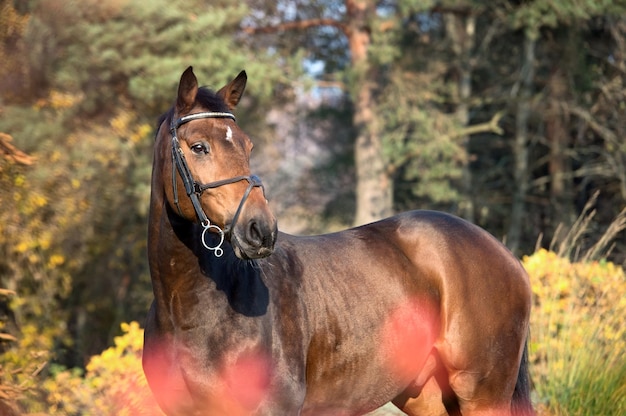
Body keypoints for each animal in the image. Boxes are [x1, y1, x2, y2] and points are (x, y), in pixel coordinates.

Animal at [141, 66, 532, 414]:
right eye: (199, 146)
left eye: (247, 145)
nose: (261, 230)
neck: (190, 310)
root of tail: (508, 257)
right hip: (430, 397)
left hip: (483, 395)